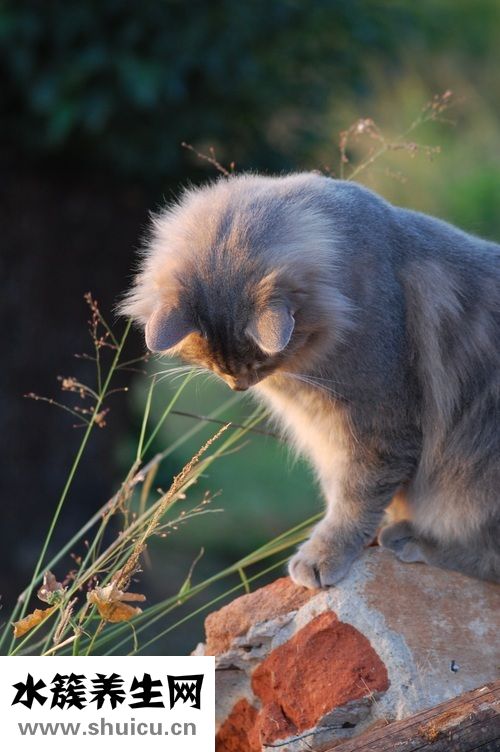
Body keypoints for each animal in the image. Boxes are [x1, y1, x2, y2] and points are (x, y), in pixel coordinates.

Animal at [120, 172, 500, 587]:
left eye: (259, 358)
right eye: (212, 362)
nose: (238, 383)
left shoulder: (378, 428)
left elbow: (354, 500)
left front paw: (323, 554)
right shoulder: (331, 437)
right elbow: (343, 493)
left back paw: (412, 540)